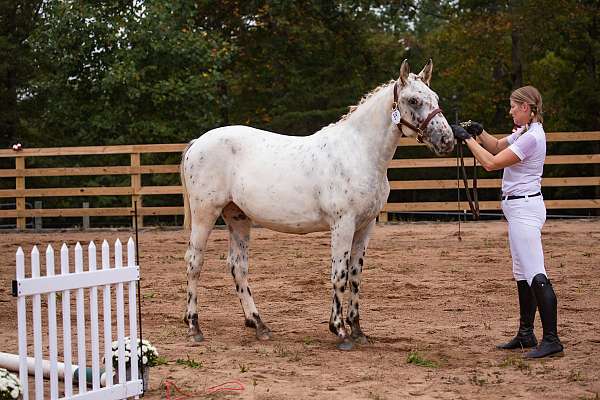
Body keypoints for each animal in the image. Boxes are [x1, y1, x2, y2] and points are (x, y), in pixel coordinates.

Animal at [180, 59, 452, 350]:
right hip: (205, 213)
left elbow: (355, 275)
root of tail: (197, 143)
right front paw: (340, 331)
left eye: (435, 97)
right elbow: (339, 274)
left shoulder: (365, 226)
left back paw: (259, 325)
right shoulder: (343, 224)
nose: (447, 140)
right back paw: (194, 328)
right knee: (194, 262)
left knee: (238, 267)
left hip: (238, 217)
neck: (357, 152)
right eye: (413, 100)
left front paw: (358, 330)